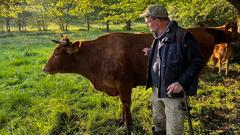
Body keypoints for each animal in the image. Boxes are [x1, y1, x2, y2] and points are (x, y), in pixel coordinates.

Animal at [44, 29, 215, 132]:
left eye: (57, 54)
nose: (44, 69)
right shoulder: (118, 86)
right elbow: (121, 103)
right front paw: (121, 121)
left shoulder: (124, 82)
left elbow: (126, 103)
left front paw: (128, 125)